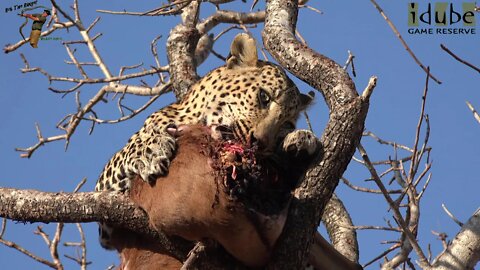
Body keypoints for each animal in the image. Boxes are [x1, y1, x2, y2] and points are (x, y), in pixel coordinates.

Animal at [94, 34, 318, 251]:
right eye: (264, 96)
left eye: (287, 124)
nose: (260, 143)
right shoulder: (106, 222)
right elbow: (128, 151)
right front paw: (151, 153)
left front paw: (300, 139)